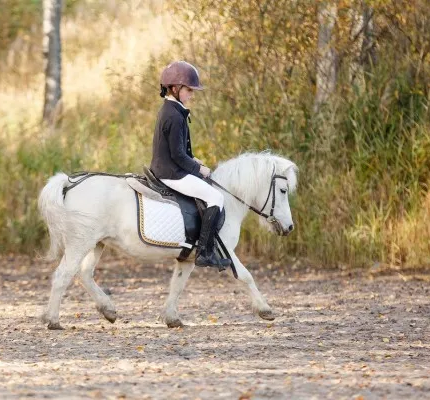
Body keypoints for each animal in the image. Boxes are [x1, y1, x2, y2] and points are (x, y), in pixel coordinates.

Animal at [38, 152, 298, 330]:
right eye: (283, 191)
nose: (289, 228)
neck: (227, 200)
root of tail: (70, 183)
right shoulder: (225, 250)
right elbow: (245, 276)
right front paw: (265, 310)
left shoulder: (188, 258)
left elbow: (178, 284)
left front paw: (172, 318)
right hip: (80, 243)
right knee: (63, 275)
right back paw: (53, 320)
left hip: (96, 243)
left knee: (84, 274)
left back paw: (108, 310)